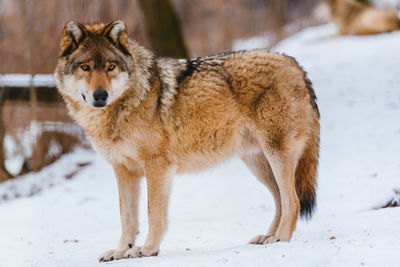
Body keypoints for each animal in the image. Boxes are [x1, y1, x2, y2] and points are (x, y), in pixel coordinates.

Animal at [54, 20, 320, 262]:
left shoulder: (157, 166)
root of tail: (295, 64)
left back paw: (281, 240)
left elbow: (153, 212)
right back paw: (267, 237)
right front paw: (120, 252)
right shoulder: (123, 169)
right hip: (258, 164)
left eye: (110, 67)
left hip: (276, 156)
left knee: (293, 202)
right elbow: (127, 216)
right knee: (280, 201)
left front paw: (147, 249)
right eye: (85, 67)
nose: (100, 95)